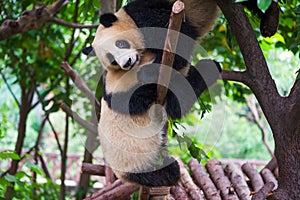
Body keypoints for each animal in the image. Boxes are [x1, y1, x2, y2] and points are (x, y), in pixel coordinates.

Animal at [83, 0, 221, 186]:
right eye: (112, 59)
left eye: (121, 44)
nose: (127, 62)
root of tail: (120, 175)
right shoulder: (130, 93)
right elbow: (176, 105)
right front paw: (208, 67)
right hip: (136, 164)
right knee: (161, 172)